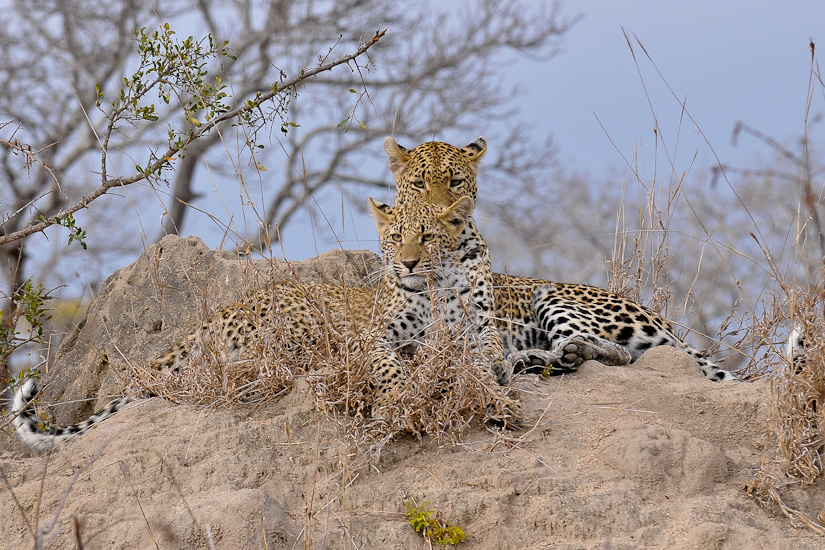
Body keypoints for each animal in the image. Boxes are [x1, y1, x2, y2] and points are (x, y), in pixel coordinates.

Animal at [12, 196, 490, 451]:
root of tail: (222, 310)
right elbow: (387, 365)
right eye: (395, 237)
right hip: (297, 327)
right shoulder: (373, 337)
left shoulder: (470, 338)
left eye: (427, 236)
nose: (407, 262)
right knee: (257, 365)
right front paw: (395, 399)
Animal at [384, 136, 739, 382]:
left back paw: (547, 356)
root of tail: (666, 323)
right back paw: (538, 359)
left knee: (609, 350)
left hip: (553, 297)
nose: (443, 215)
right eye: (419, 184)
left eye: (456, 182)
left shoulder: (480, 319)